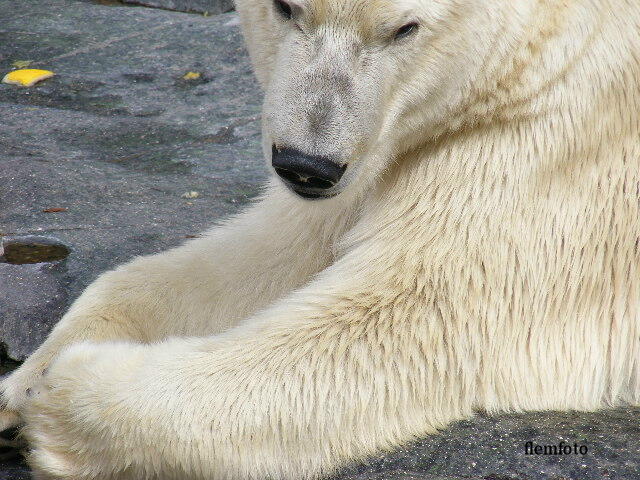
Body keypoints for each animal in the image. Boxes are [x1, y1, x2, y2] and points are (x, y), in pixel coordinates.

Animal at [1, 0, 640, 478]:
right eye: (287, 7)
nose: (307, 165)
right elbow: (273, 254)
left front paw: (64, 396)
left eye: (405, 28)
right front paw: (25, 382)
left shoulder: (558, 146)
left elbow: (422, 313)